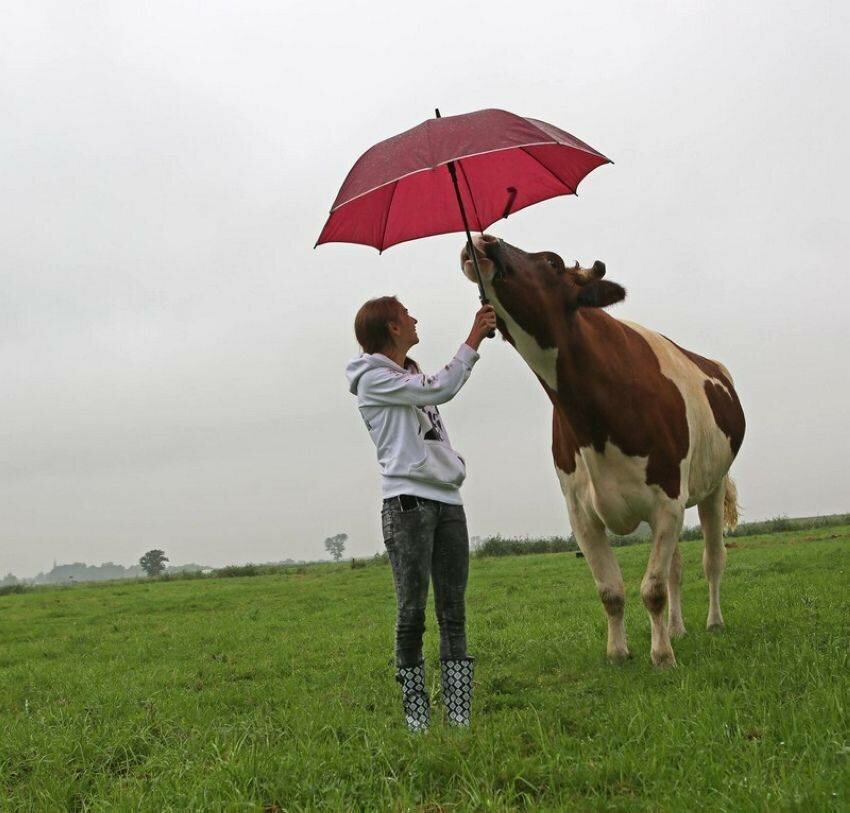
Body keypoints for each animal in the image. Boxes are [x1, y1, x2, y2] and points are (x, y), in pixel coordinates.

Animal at [460, 233, 744, 668]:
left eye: (553, 262)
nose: (483, 239)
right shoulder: (581, 513)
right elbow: (611, 590)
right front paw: (618, 652)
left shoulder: (667, 500)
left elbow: (652, 589)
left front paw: (662, 656)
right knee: (677, 568)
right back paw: (678, 628)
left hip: (711, 487)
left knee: (712, 561)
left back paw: (713, 623)